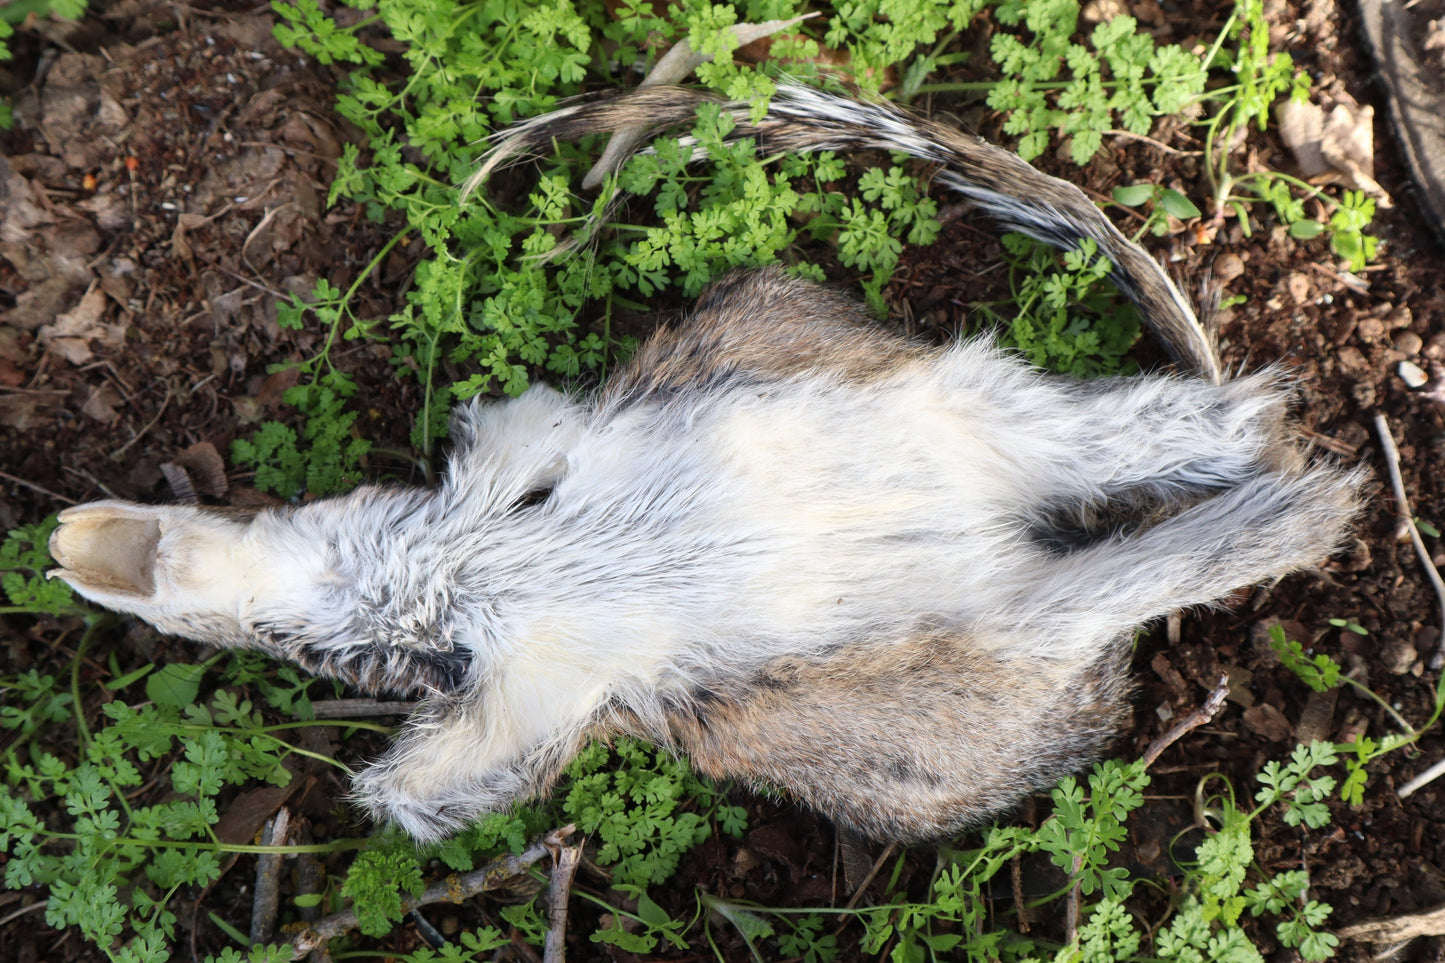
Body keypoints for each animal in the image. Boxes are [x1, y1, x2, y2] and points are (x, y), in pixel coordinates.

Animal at [48, 85, 1362, 842]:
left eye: (299, 654)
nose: (66, 540)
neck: (420, 577)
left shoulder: (497, 537)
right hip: (1012, 459)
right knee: (1197, 457)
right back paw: (1302, 479)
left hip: (978, 523)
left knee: (1168, 529)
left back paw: (1309, 496)